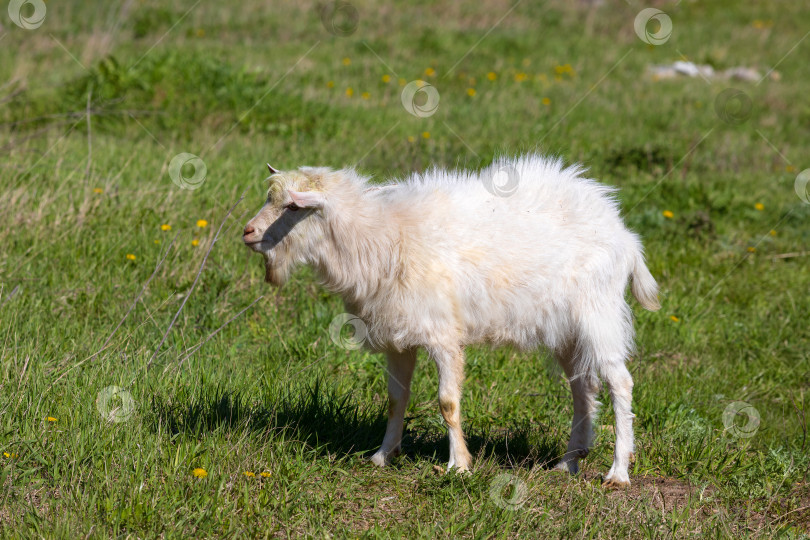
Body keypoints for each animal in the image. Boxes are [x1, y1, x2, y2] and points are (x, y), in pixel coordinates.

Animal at [243, 154, 660, 488]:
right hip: (568, 331)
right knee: (583, 388)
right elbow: (395, 399)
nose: (248, 232)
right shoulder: (398, 335)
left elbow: (447, 402)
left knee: (620, 382)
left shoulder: (442, 333)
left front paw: (458, 465)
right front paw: (382, 456)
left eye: (294, 207)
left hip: (599, 314)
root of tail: (624, 234)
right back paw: (568, 462)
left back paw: (618, 472)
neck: (384, 235)